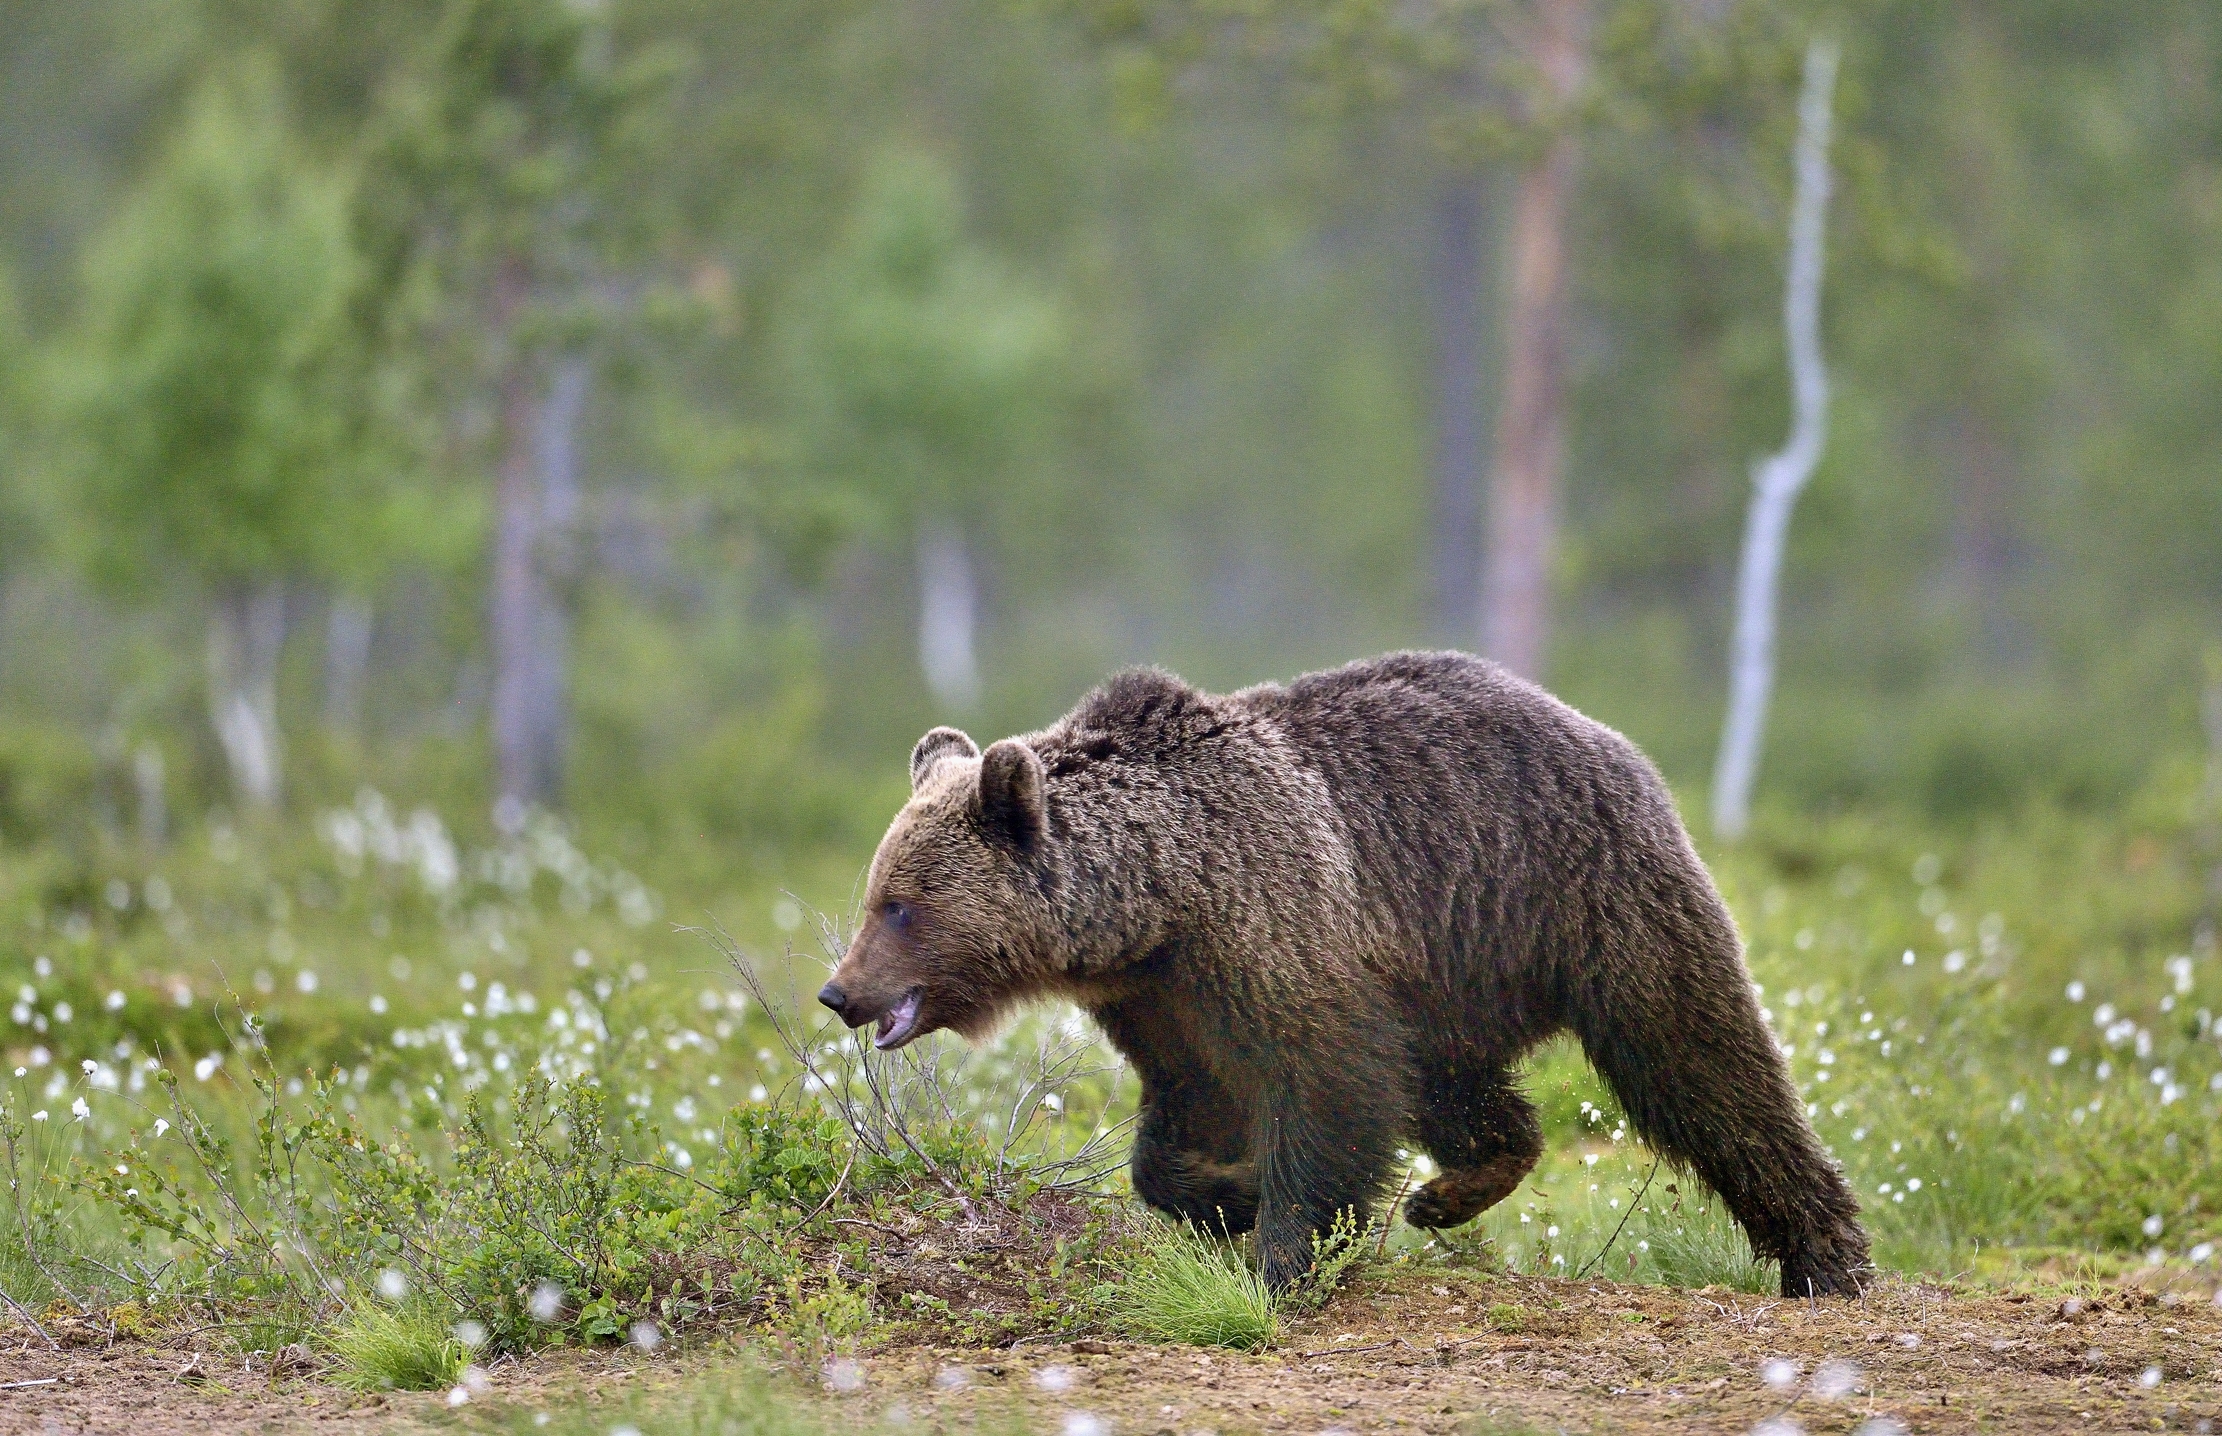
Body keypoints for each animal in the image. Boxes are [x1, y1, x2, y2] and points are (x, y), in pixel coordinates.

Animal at [818, 651, 1870, 1296]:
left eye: (899, 905)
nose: (839, 992)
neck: (1158, 895)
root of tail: (1600, 731)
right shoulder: (1167, 999)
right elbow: (1183, 1116)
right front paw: (1226, 1195)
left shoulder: (1274, 931)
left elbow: (1326, 1085)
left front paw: (1284, 1252)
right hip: (1446, 973)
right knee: (1460, 1089)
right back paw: (1456, 1185)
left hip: (1587, 900)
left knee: (1700, 1062)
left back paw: (1827, 1258)